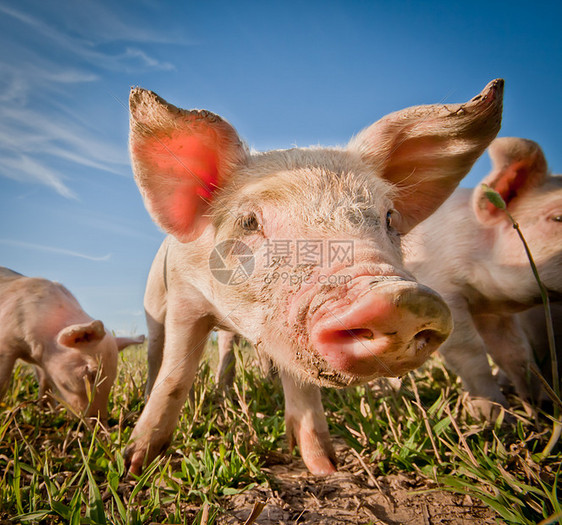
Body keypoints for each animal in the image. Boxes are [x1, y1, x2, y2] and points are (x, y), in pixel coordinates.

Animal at [0, 268, 144, 420]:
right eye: (91, 373)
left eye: (113, 375)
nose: (98, 421)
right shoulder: (6, 344)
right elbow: (3, 382)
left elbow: (45, 385)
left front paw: (49, 413)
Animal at [124, 79, 500, 474]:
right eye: (249, 221)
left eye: (389, 217)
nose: (398, 299)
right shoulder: (185, 296)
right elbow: (176, 374)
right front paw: (136, 463)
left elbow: (301, 384)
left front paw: (325, 467)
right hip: (154, 302)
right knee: (157, 350)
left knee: (228, 348)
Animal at [402, 137, 560, 416]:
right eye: (558, 217)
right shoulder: (442, 288)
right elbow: (470, 351)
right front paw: (496, 416)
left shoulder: (493, 312)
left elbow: (516, 353)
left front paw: (534, 411)